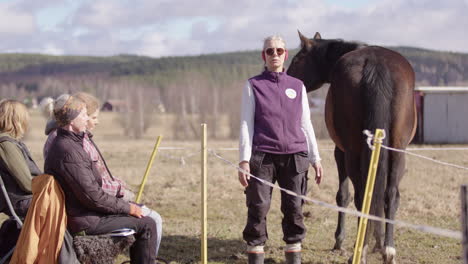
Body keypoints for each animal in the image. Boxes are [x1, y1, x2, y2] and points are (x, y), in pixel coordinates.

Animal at [288, 32, 416, 262]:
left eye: (296, 60)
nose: (286, 77)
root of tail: (376, 64)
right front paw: (378, 242)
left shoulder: (340, 152)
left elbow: (343, 195)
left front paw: (339, 241)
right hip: (398, 153)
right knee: (390, 195)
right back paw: (388, 250)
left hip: (353, 154)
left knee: (360, 196)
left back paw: (360, 250)